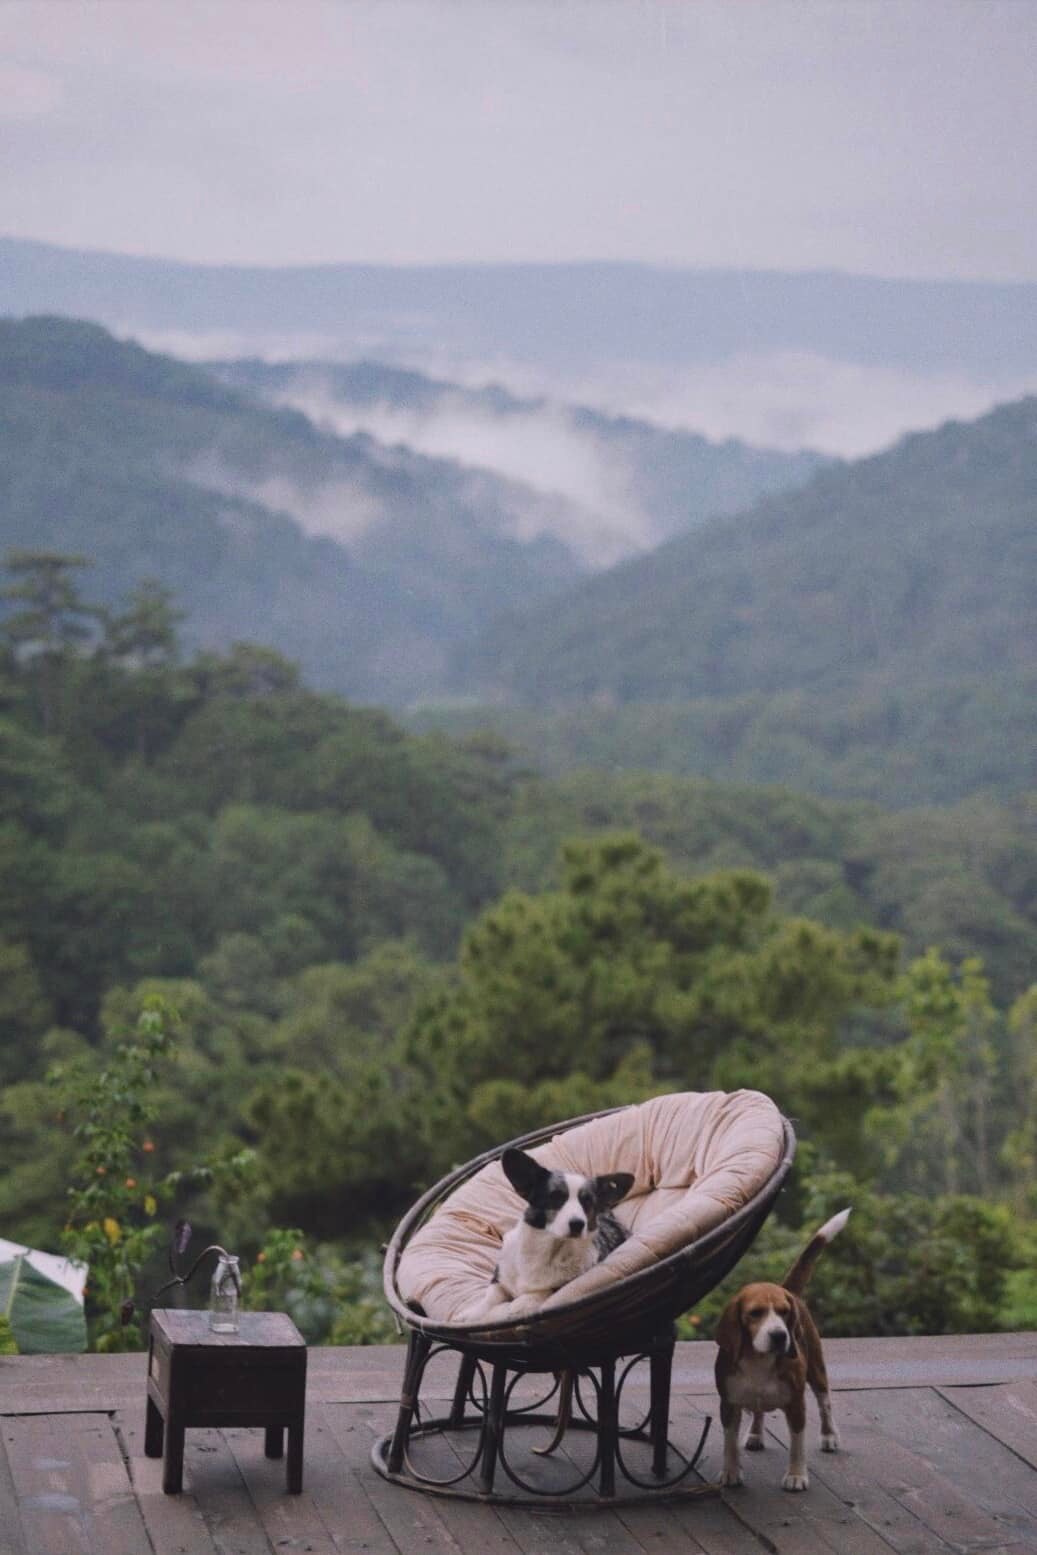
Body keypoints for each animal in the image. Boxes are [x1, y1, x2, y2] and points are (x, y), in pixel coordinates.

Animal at [466, 1144, 637, 1324]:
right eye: (555, 1197)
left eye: (587, 1201)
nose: (578, 1224)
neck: (549, 1248)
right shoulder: (500, 1275)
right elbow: (491, 1295)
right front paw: (472, 1313)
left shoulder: (564, 1284)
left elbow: (545, 1291)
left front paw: (519, 1304)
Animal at [715, 1206, 851, 1486]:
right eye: (755, 1313)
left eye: (784, 1312)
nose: (779, 1335)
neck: (759, 1361)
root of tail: (789, 1290)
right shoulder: (728, 1404)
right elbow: (729, 1443)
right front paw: (731, 1471)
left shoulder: (796, 1405)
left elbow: (797, 1445)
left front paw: (796, 1475)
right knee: (758, 1411)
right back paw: (755, 1434)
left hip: (817, 1371)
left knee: (825, 1402)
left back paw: (829, 1436)